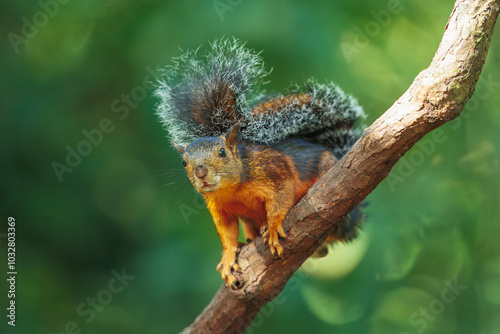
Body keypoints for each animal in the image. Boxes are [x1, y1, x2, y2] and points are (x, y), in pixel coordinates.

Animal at [156, 37, 368, 288]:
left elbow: (280, 200)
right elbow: (226, 233)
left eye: (222, 153)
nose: (200, 173)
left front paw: (274, 227)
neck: (232, 189)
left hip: (331, 177)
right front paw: (228, 256)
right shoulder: (218, 208)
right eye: (183, 162)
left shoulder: (274, 171)